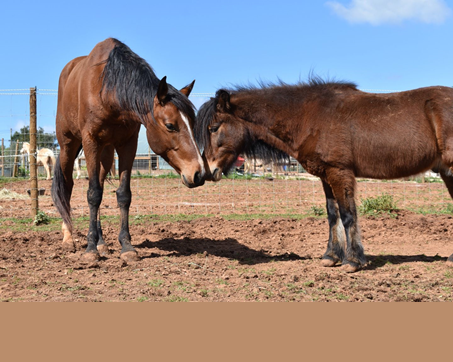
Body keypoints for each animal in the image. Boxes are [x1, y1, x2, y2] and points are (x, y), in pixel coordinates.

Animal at [51, 38, 205, 262]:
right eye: (170, 125)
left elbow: (123, 194)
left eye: (193, 123)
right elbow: (92, 194)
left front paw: (126, 246)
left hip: (106, 153)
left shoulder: (128, 144)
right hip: (68, 146)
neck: (109, 92)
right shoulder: (90, 142)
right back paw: (69, 238)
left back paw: (102, 243)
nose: (199, 173)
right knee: (68, 186)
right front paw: (90, 250)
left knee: (100, 184)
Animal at [195, 79, 453, 272]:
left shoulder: (340, 171)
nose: (207, 172)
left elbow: (348, 214)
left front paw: (353, 261)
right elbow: (333, 215)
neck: (308, 116)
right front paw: (331, 256)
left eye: (214, 128)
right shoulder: (325, 175)